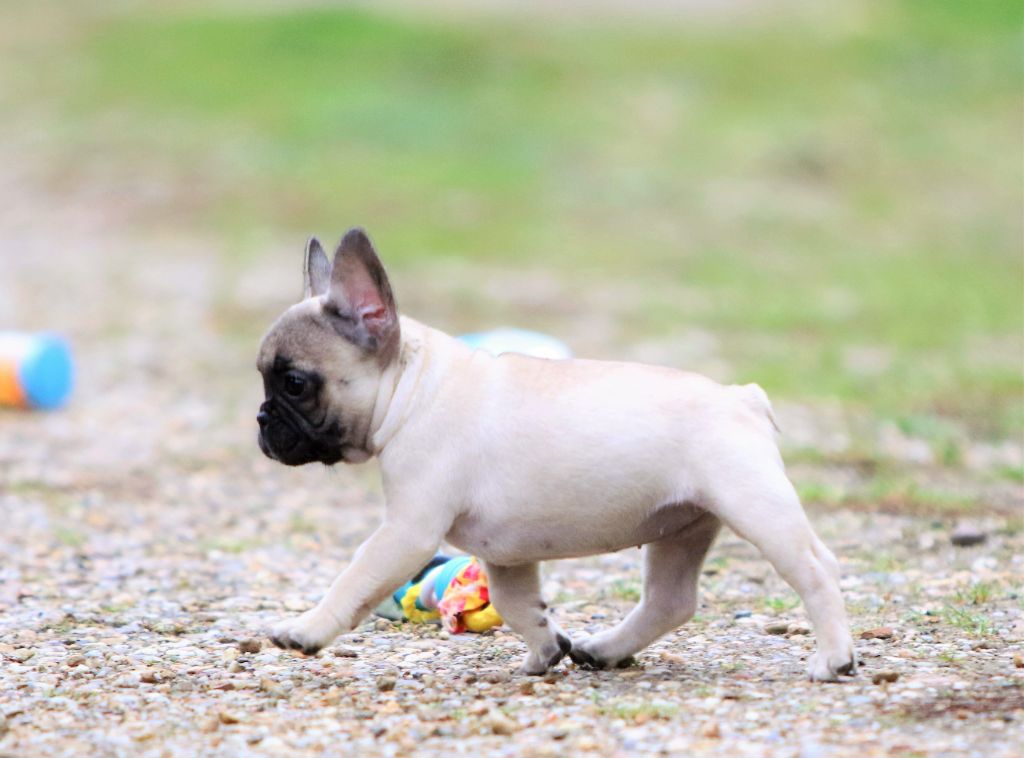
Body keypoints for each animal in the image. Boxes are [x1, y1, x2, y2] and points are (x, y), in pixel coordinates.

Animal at [256, 229, 856, 680]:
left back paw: (834, 659)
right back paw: (607, 648)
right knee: (671, 599)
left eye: (293, 383)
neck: (411, 386)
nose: (261, 421)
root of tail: (741, 396)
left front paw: (306, 629)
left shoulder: (407, 531)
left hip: (754, 505)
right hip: (682, 527)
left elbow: (355, 578)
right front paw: (546, 649)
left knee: (815, 569)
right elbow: (516, 602)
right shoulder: (505, 556)